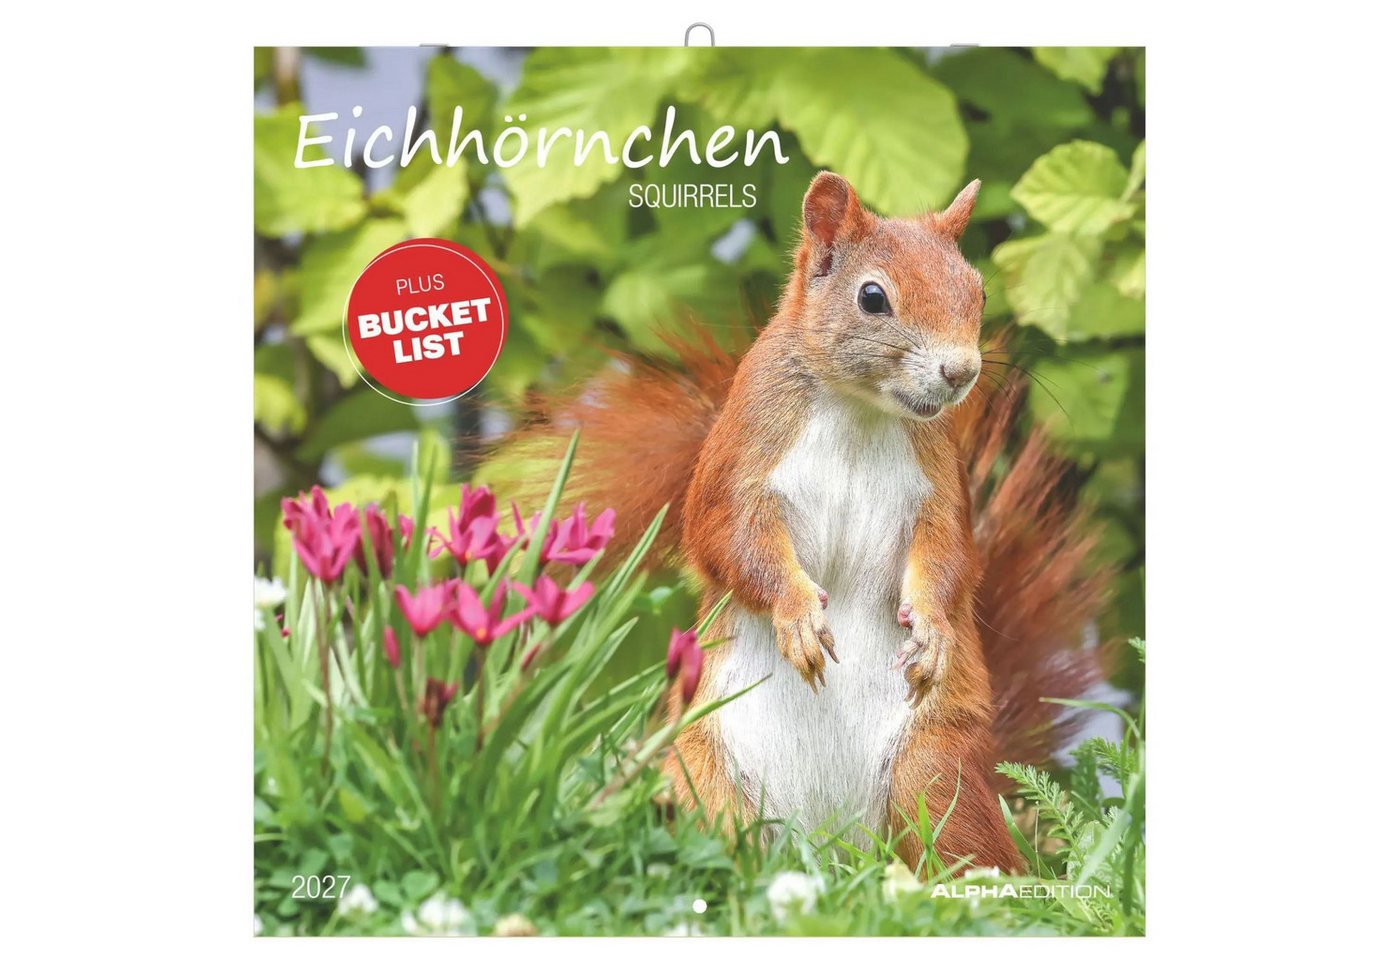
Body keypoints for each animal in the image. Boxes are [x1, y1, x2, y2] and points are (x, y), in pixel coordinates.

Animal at [502, 172, 1109, 875]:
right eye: (872, 297)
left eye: (978, 289)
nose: (961, 371)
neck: (859, 410)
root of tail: (829, 848)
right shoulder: (742, 459)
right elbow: (729, 541)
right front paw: (796, 616)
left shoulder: (938, 484)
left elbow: (951, 557)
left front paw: (932, 628)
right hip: (706, 778)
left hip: (932, 773)